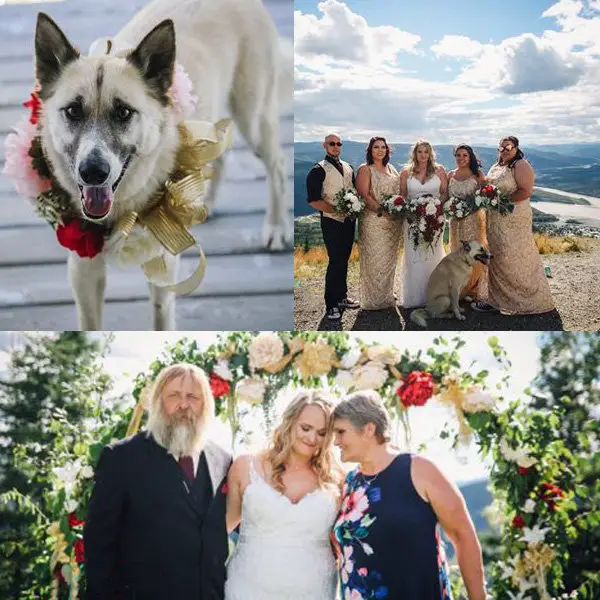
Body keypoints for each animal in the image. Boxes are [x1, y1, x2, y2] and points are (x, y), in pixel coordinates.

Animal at [34, 0, 292, 328]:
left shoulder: (165, 265)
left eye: (123, 112)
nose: (93, 172)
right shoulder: (83, 269)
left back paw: (276, 226)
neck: (123, 207)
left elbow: (161, 321)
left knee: (278, 165)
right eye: (72, 111)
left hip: (254, 119)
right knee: (220, 156)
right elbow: (90, 326)